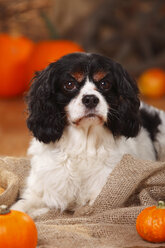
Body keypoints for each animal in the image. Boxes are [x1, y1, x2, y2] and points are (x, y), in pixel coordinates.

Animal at [11, 52, 165, 217]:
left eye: (104, 84)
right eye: (69, 84)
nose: (90, 99)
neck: (84, 143)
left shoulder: (102, 195)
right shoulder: (40, 192)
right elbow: (19, 208)